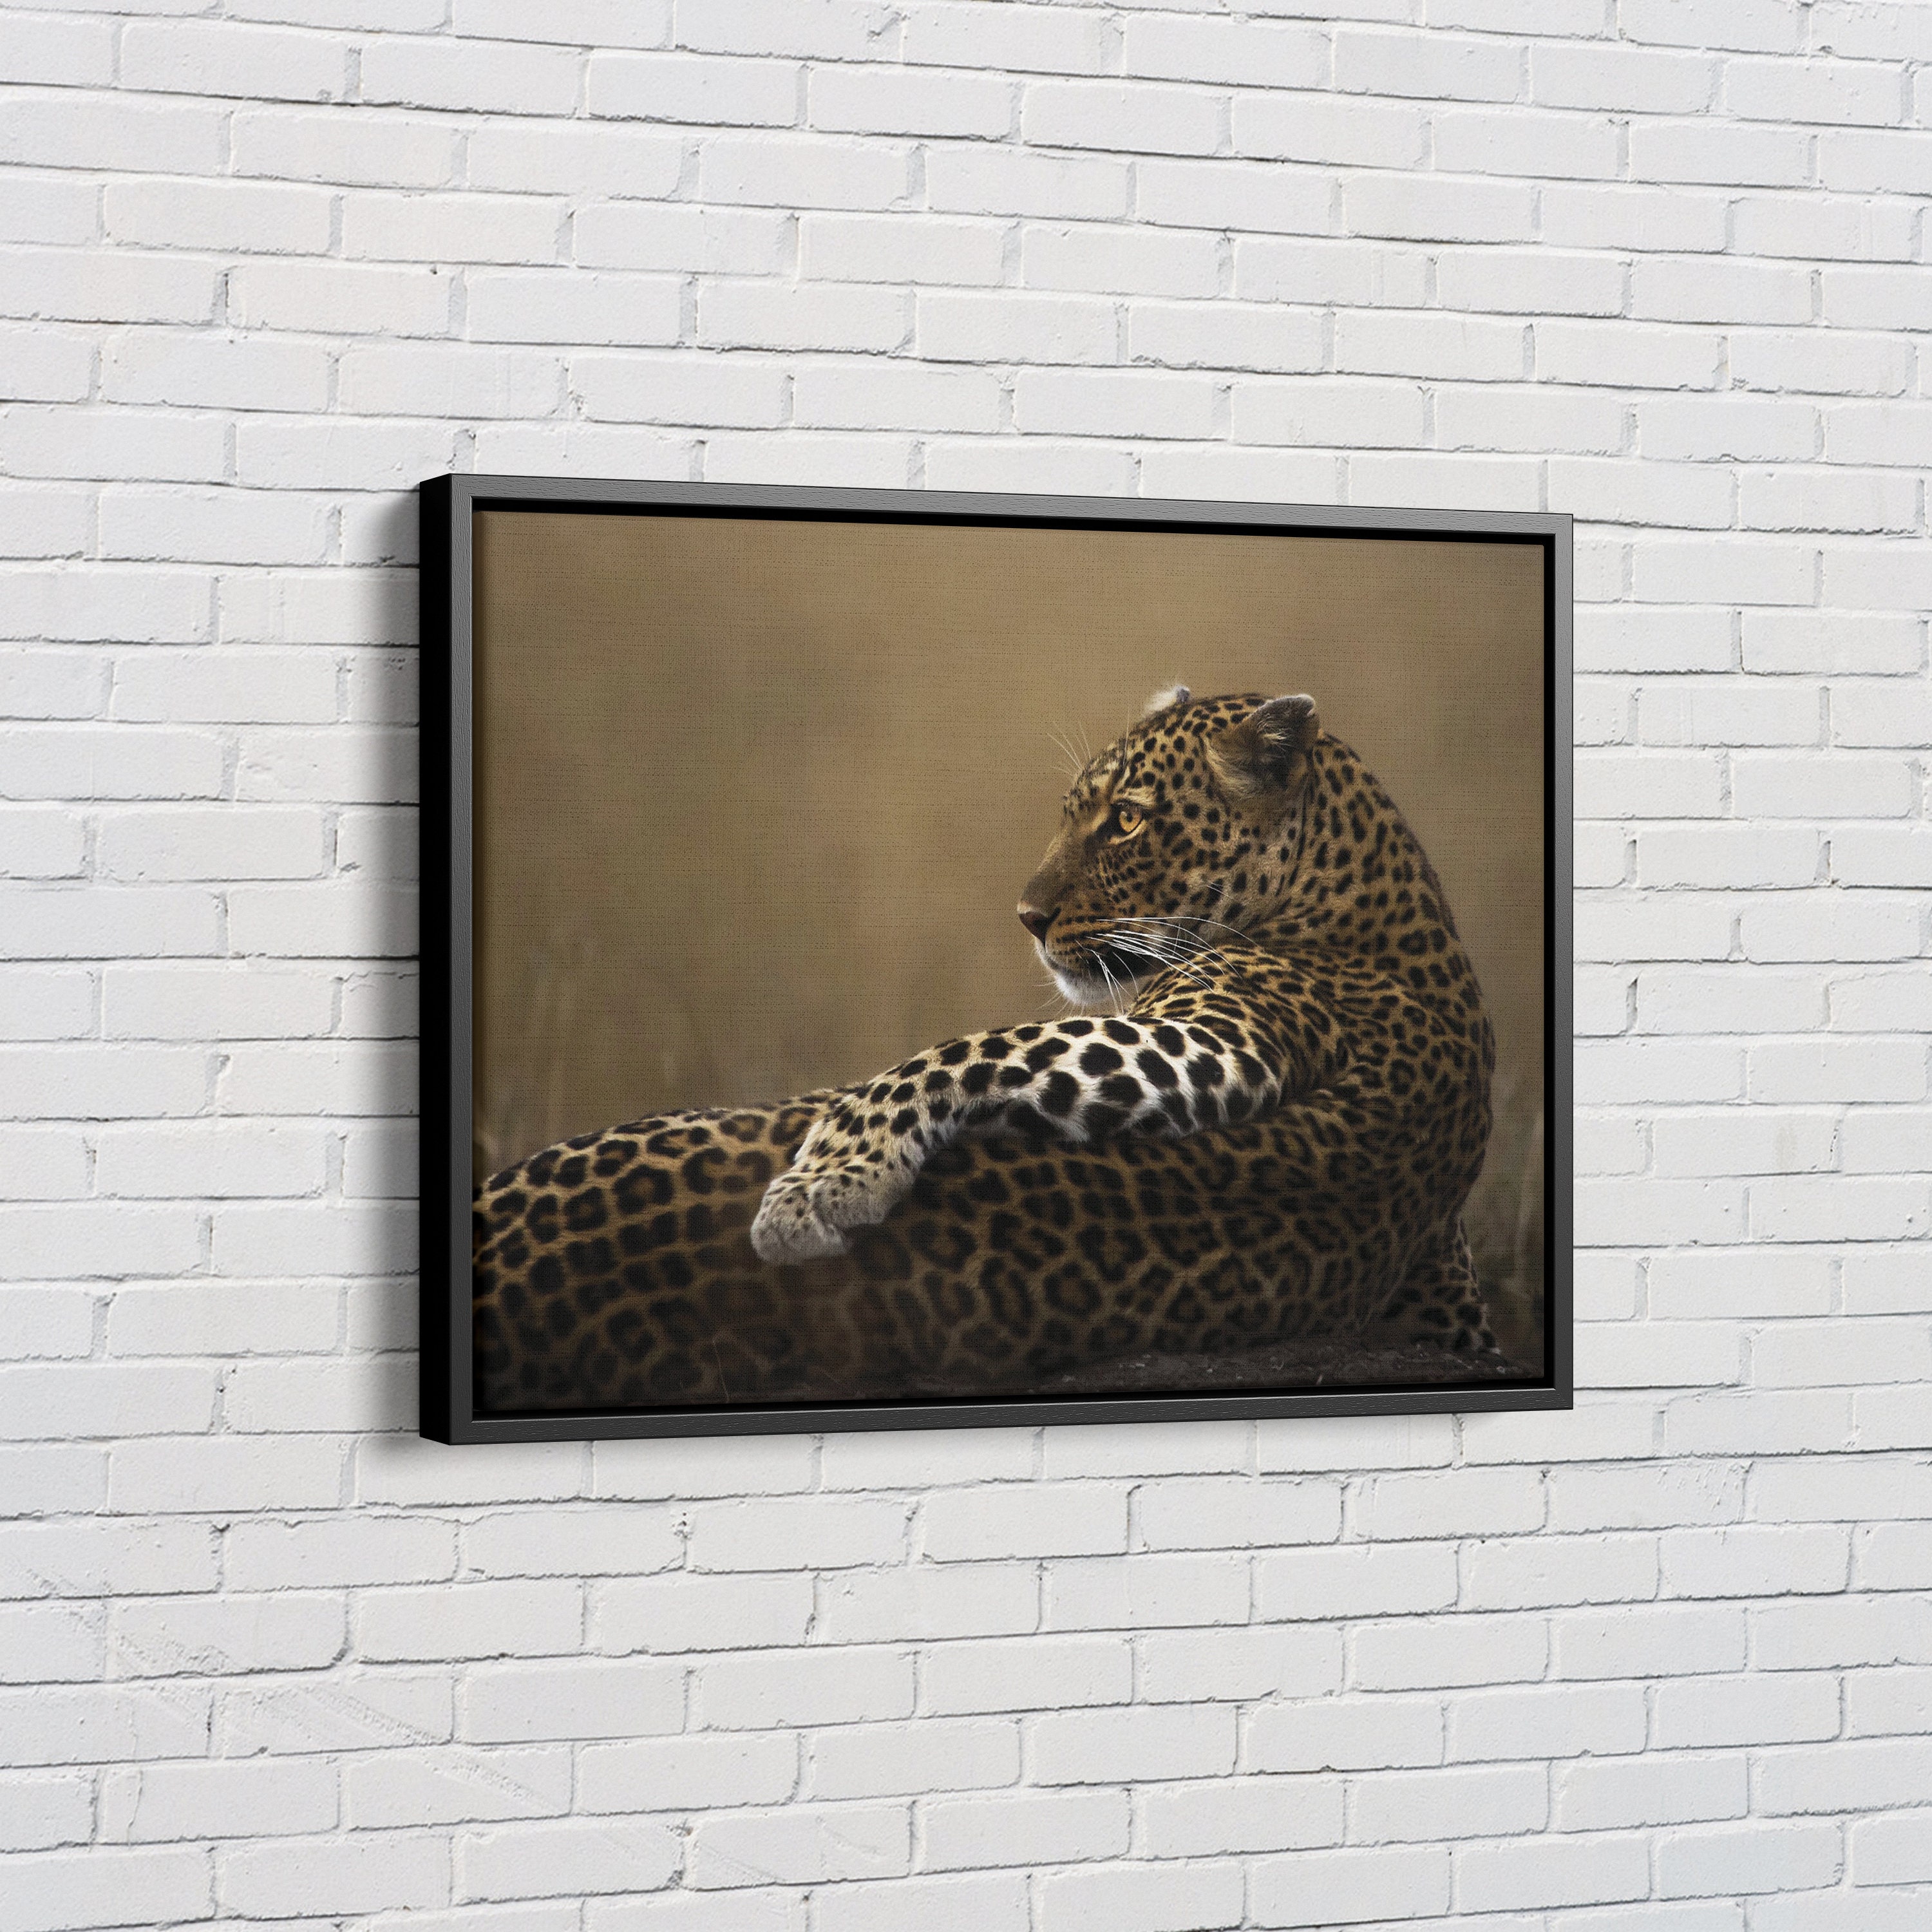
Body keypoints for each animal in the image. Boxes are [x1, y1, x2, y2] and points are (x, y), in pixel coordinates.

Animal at [472, 687, 1504, 1414]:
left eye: (1127, 820)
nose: (1027, 918)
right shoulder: (1446, 1291)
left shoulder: (1218, 1040)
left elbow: (958, 1052)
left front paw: (822, 1185)